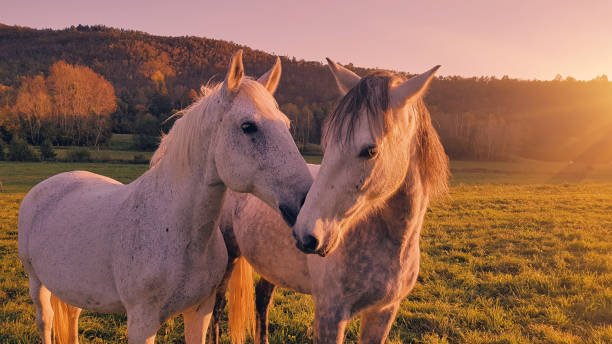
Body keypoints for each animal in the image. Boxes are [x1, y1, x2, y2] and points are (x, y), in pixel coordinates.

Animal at [17, 50, 316, 344]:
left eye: (287, 125)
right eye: (248, 126)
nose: (306, 204)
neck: (176, 231)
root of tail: (47, 185)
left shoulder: (200, 311)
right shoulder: (142, 321)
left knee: (72, 317)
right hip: (37, 283)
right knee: (46, 321)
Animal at [210, 59, 450, 344]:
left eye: (370, 150)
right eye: (329, 143)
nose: (306, 235)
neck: (393, 242)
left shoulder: (383, 313)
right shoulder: (330, 316)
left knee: (262, 300)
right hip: (229, 257)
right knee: (217, 308)